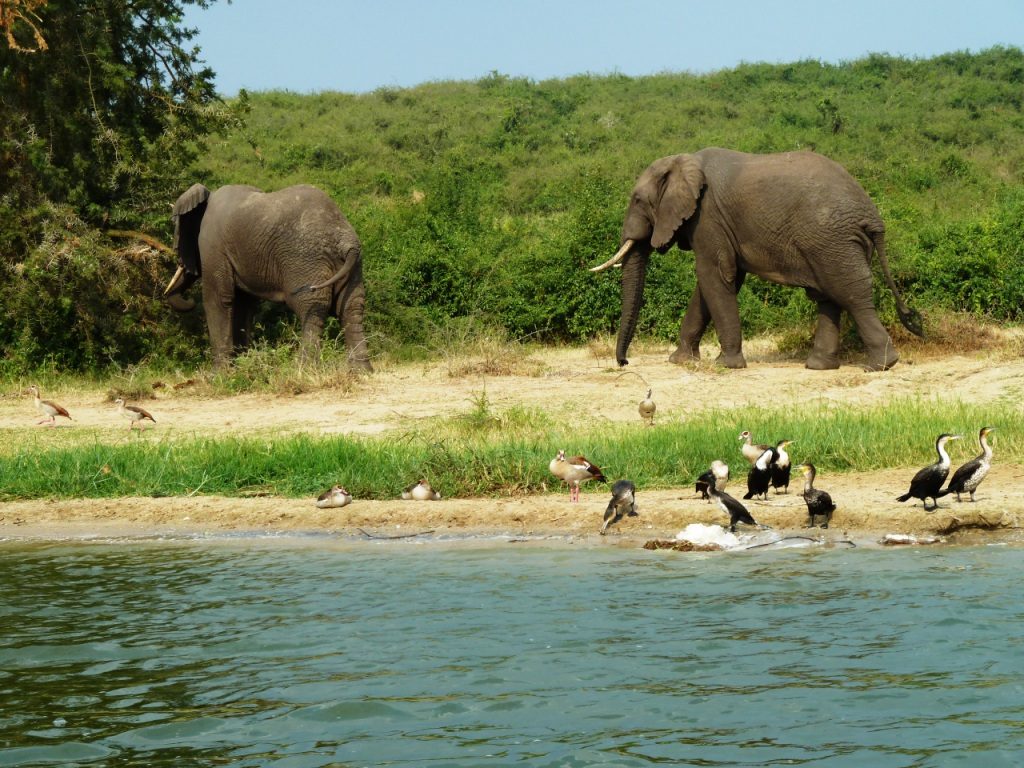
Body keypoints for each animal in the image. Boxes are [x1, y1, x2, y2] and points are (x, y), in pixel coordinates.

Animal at [165, 183, 374, 370]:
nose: (189, 301)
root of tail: (346, 241)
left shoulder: (212, 245)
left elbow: (217, 299)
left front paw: (218, 375)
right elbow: (243, 304)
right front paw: (242, 367)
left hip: (305, 259)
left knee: (312, 305)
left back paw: (303, 369)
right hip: (351, 264)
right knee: (351, 306)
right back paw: (361, 370)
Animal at [589, 148, 925, 372]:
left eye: (637, 200)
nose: (624, 362)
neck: (683, 161)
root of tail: (873, 216)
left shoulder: (708, 218)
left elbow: (715, 276)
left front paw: (726, 365)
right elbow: (714, 283)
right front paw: (680, 360)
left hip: (832, 238)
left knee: (850, 293)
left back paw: (880, 365)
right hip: (832, 243)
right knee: (828, 296)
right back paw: (819, 367)